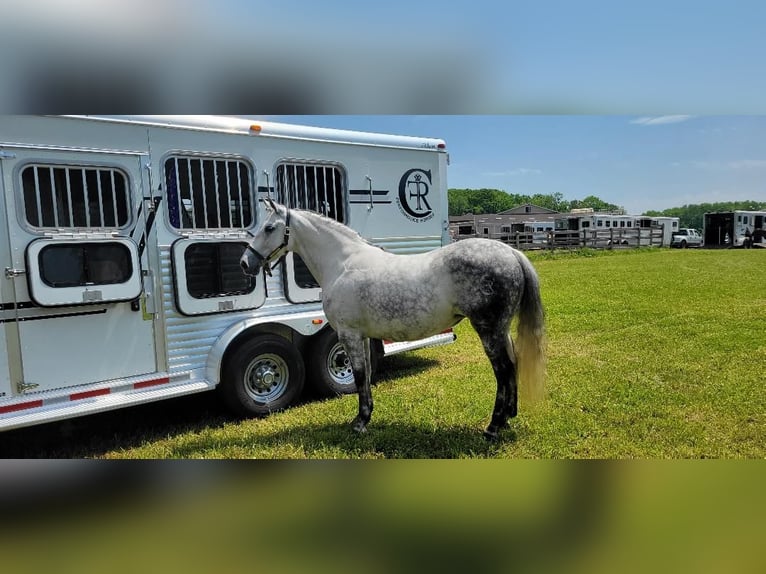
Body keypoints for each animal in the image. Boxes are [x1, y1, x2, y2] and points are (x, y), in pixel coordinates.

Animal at [240, 201, 544, 440]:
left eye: (269, 228)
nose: (245, 263)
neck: (342, 264)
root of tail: (511, 252)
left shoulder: (349, 335)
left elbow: (359, 376)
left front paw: (360, 423)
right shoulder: (361, 336)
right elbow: (365, 376)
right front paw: (366, 417)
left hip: (488, 330)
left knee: (503, 371)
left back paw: (493, 427)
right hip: (501, 330)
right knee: (513, 364)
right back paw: (507, 418)